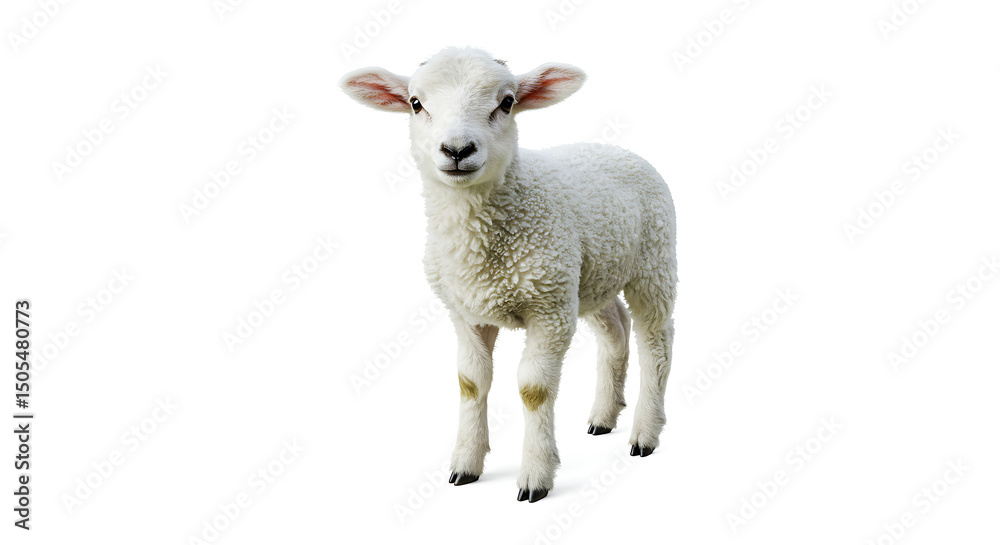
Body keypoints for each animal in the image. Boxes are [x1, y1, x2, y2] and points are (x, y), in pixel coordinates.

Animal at [340, 47, 677, 503]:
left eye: (507, 102)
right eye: (415, 103)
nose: (458, 149)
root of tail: (618, 150)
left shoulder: (550, 310)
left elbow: (533, 390)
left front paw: (535, 476)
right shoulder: (466, 312)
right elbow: (470, 382)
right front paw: (465, 464)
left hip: (653, 263)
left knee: (656, 342)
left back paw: (645, 432)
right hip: (591, 277)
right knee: (616, 330)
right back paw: (604, 416)